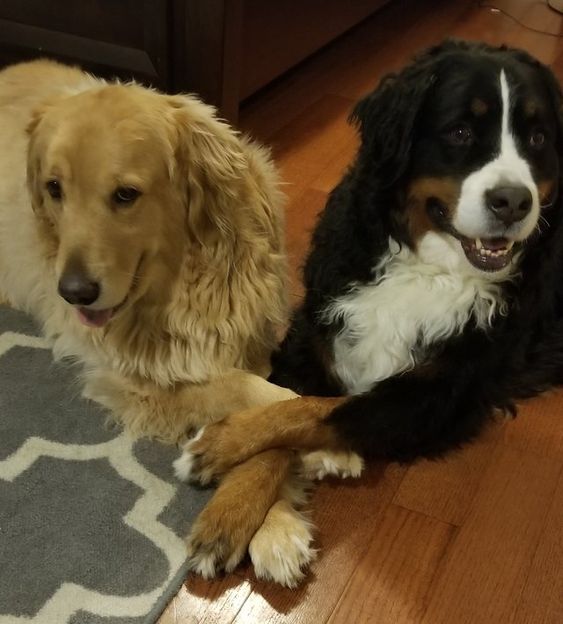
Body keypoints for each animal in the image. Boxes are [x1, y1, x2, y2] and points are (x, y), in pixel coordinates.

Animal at [178, 41, 563, 580]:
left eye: (538, 138)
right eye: (460, 132)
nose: (512, 201)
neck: (429, 267)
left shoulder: (441, 393)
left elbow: (320, 409)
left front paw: (217, 446)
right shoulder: (313, 335)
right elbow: (285, 410)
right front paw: (229, 517)